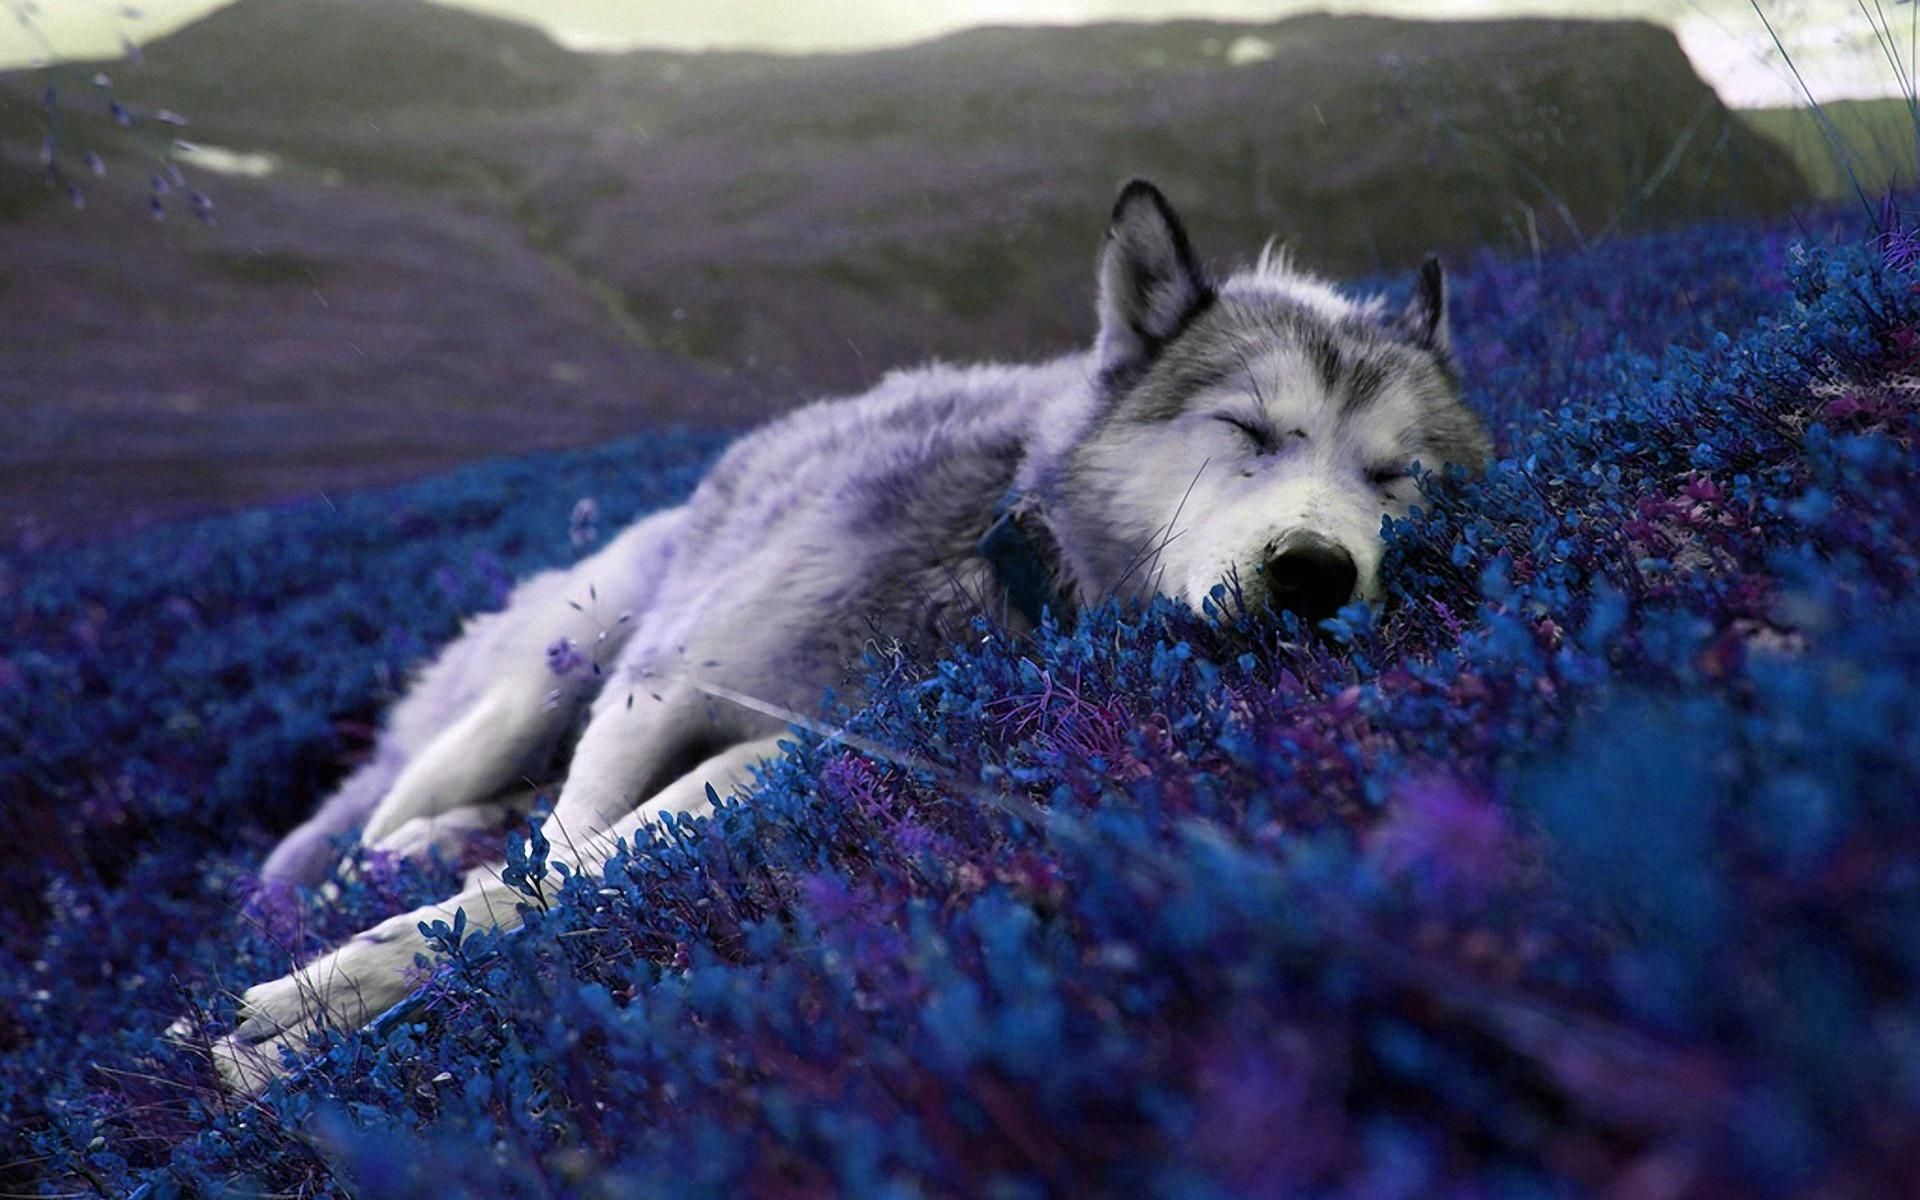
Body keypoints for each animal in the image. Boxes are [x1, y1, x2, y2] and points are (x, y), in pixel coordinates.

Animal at [208, 180, 1490, 1090]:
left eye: (1395, 477)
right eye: (1247, 430)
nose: (1316, 573)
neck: (996, 553)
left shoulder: (790, 750)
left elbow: (573, 873)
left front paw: (313, 1022)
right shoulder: (658, 690)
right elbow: (561, 854)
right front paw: (313, 1001)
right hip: (547, 678)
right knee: (375, 819)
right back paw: (359, 872)